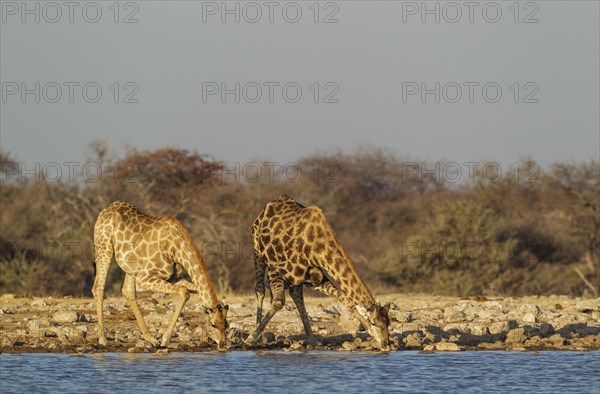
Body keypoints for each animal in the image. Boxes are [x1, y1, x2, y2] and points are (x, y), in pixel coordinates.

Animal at [93, 202, 230, 350]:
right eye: (213, 324)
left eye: (227, 325)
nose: (223, 345)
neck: (176, 250)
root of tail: (106, 209)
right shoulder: (144, 278)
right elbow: (184, 292)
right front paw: (165, 340)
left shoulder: (174, 278)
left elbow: (192, 289)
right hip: (104, 248)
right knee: (98, 288)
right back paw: (103, 339)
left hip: (131, 266)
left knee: (127, 291)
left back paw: (150, 339)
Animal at [245, 194, 392, 350]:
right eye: (374, 322)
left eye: (388, 323)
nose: (386, 345)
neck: (317, 249)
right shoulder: (276, 272)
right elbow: (278, 302)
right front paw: (250, 339)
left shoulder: (316, 280)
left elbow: (348, 301)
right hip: (257, 251)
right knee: (260, 289)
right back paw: (258, 336)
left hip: (296, 278)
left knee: (296, 295)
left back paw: (312, 340)